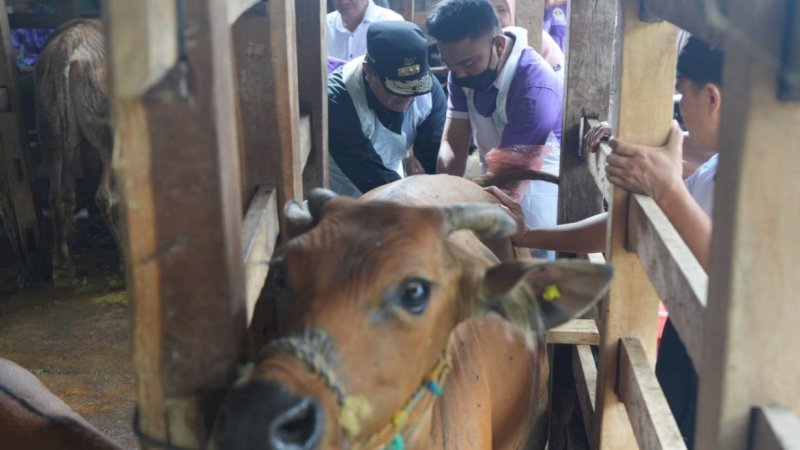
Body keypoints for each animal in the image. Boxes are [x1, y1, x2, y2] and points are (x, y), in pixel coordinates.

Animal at [34, 21, 117, 282]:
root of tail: (67, 47)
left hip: (53, 135)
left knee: (58, 195)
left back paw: (62, 266)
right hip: (105, 132)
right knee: (104, 195)